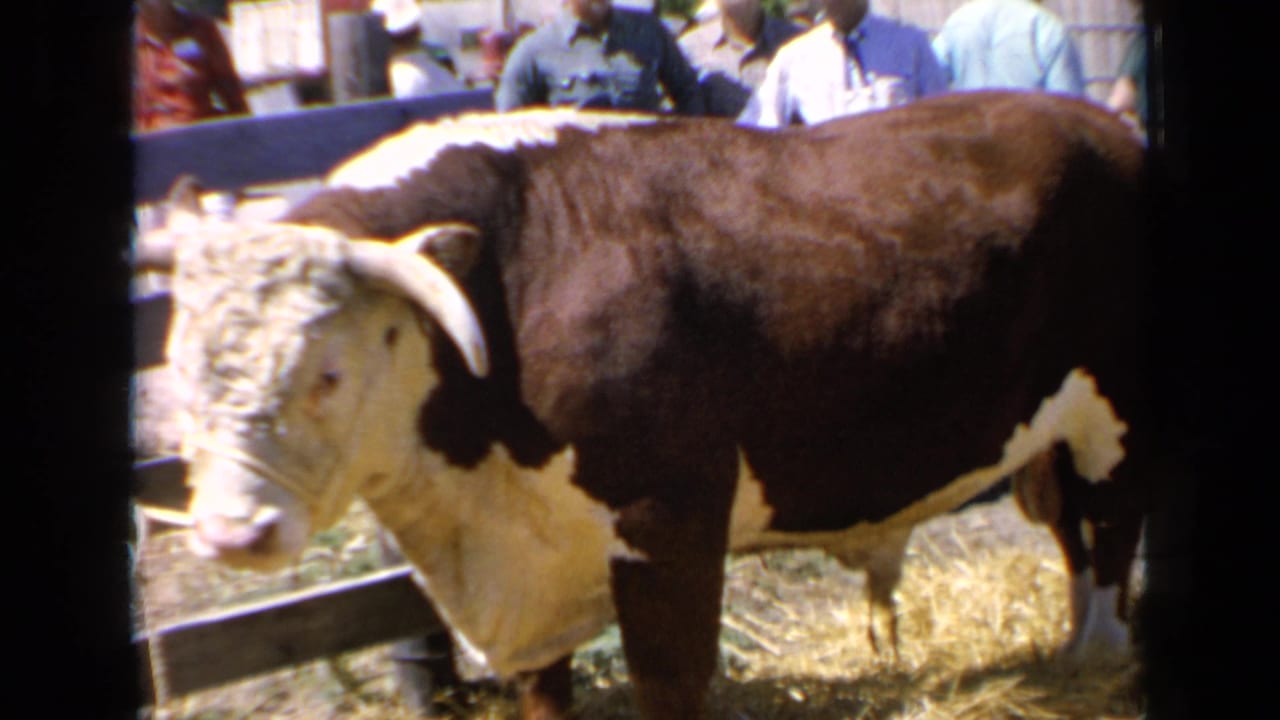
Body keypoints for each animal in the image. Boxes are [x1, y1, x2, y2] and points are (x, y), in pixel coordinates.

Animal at [168, 91, 1152, 719]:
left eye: (326, 374)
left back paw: (1097, 658)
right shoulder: (535, 560)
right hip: (1050, 435)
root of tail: (1106, 126)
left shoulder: (667, 523)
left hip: (1121, 416)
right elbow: (545, 694)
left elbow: (669, 680)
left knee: (1110, 536)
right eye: (178, 373)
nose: (231, 533)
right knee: (1071, 533)